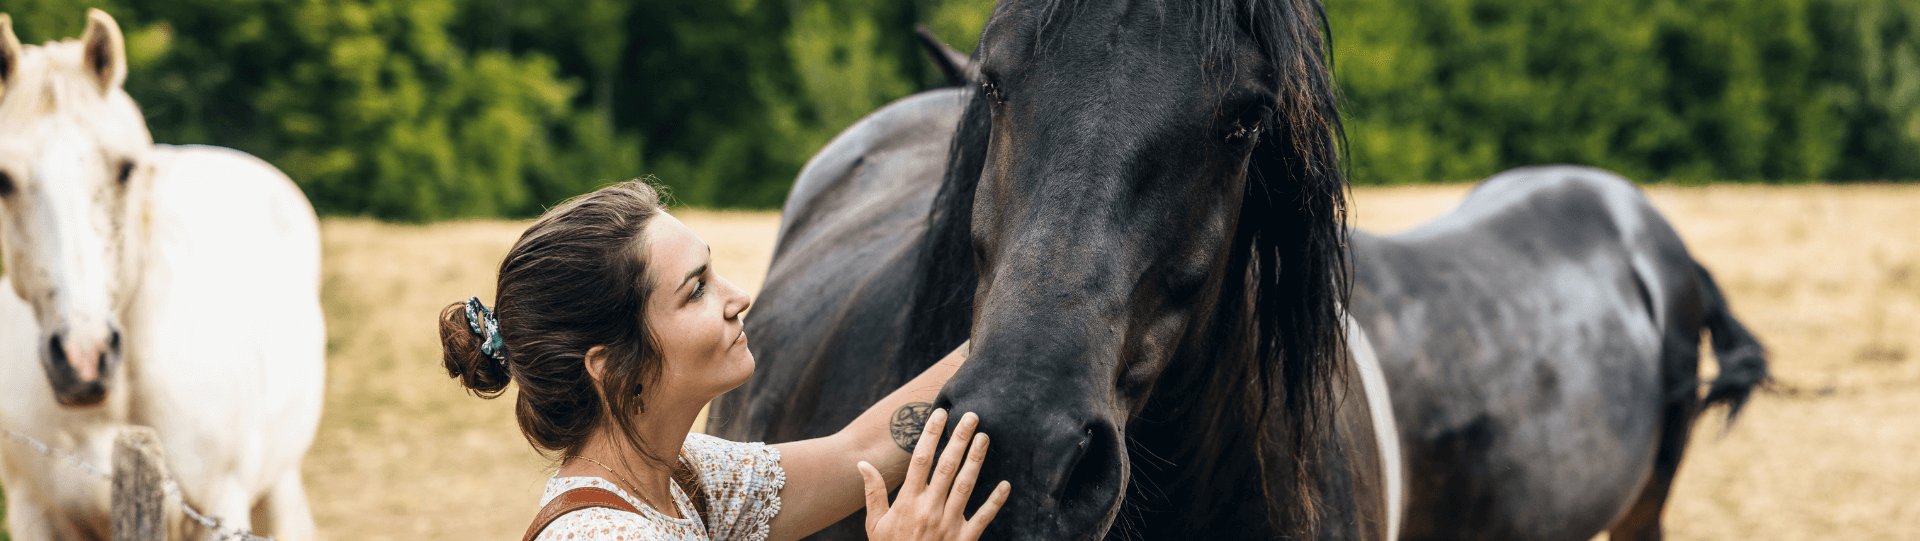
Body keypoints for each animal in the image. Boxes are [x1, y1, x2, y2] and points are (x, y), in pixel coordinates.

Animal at [0, 9, 322, 541]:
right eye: (3, 180)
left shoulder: (219, 508)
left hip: (279, 483)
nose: (83, 359)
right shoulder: (34, 512)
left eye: (126, 169)